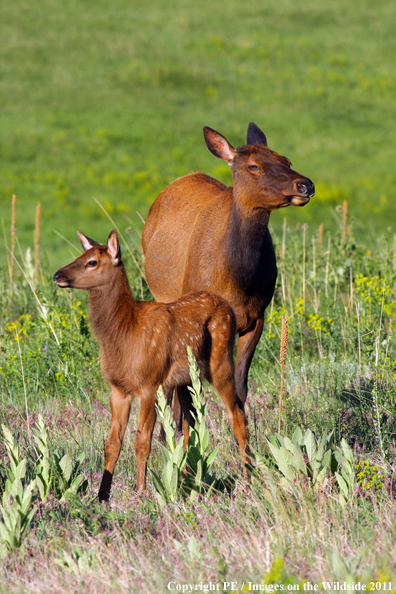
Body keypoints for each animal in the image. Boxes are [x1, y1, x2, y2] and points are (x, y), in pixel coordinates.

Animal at [54, 228, 249, 500]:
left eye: (91, 262)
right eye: (80, 255)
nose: (57, 275)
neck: (125, 334)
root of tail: (228, 307)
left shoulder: (149, 383)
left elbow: (142, 440)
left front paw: (141, 490)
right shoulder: (118, 389)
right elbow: (112, 443)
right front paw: (102, 495)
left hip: (220, 362)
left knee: (237, 413)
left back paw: (249, 478)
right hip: (187, 380)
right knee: (191, 425)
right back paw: (188, 481)